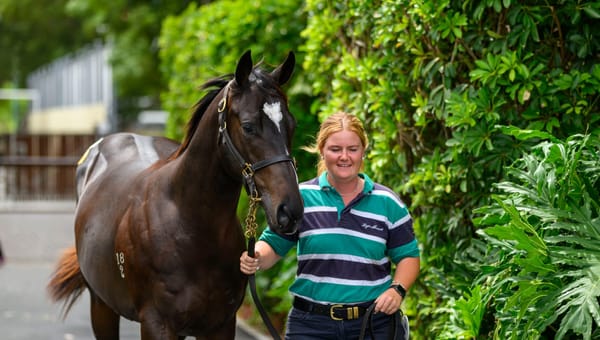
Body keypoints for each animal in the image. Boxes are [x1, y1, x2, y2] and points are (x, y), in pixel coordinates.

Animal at [47, 51, 302, 340]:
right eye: (248, 126)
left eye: (291, 124)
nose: (290, 211)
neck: (190, 227)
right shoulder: (156, 324)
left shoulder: (221, 325)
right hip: (101, 307)